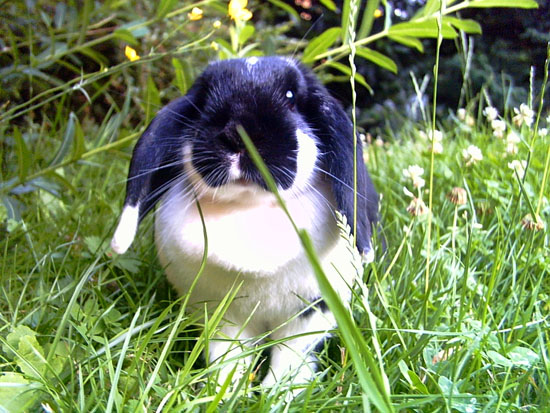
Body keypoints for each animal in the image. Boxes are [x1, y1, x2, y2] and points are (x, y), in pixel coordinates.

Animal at [111, 55, 380, 390]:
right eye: (204, 98)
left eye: (291, 97)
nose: (239, 135)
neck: (248, 208)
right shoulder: (221, 317)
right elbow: (227, 357)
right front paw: (223, 392)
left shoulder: (312, 313)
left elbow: (290, 357)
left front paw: (277, 394)